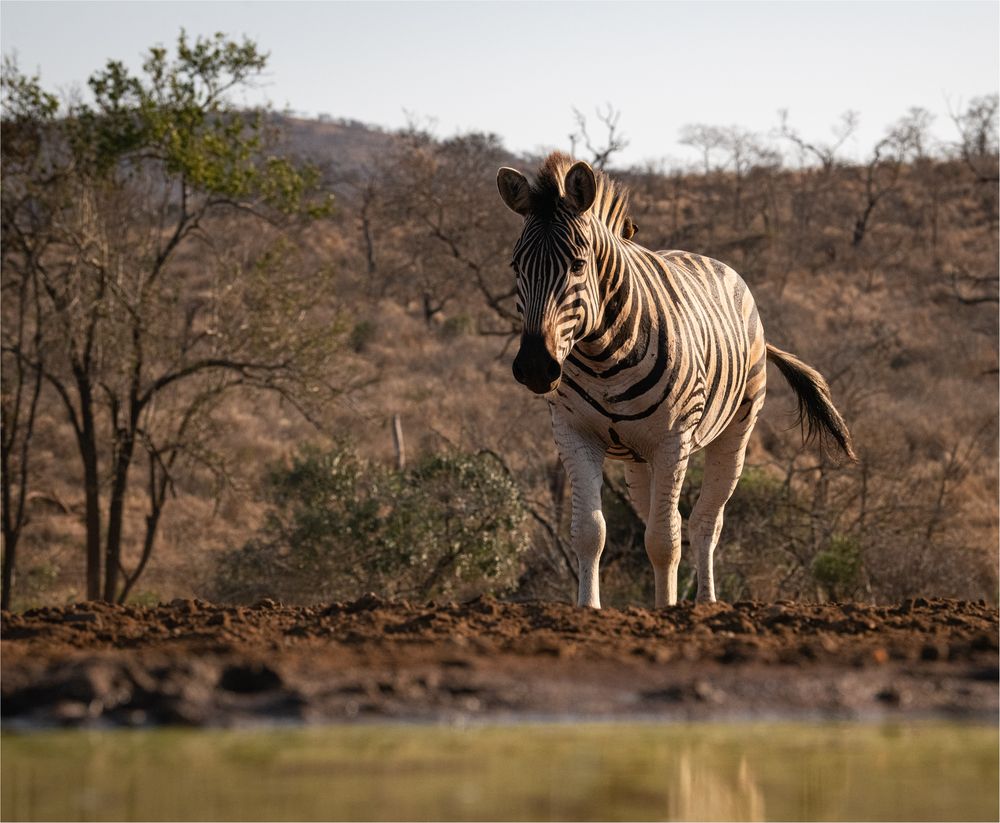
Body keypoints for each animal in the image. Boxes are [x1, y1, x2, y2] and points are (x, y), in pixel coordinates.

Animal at [496, 153, 856, 612]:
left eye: (578, 265)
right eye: (515, 266)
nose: (536, 367)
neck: (601, 355)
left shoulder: (672, 439)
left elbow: (664, 541)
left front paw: (666, 611)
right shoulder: (574, 434)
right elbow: (590, 533)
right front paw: (588, 610)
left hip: (734, 434)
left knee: (705, 523)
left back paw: (705, 602)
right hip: (637, 459)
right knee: (664, 516)